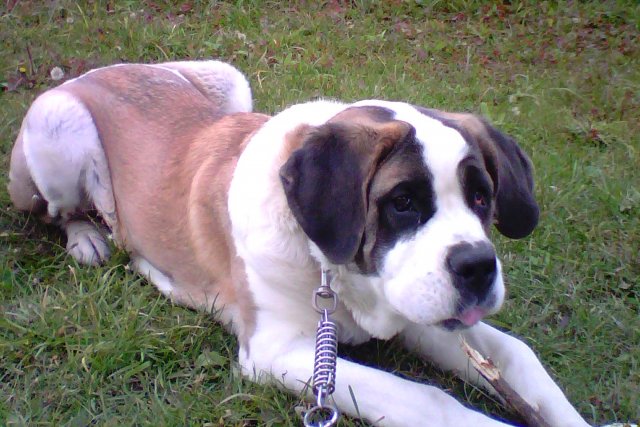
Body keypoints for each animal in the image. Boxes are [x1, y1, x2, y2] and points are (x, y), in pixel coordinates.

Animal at [8, 60, 590, 426]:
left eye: (481, 197)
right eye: (403, 201)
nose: (477, 267)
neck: (334, 271)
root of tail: (94, 72)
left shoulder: (415, 314)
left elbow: (518, 357)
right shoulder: (277, 351)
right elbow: (430, 400)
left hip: (229, 80)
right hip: (57, 125)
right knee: (59, 212)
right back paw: (90, 239)